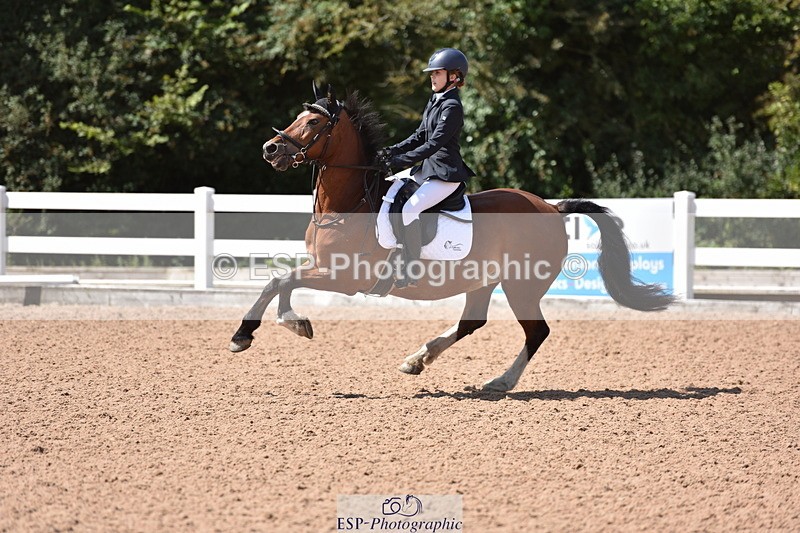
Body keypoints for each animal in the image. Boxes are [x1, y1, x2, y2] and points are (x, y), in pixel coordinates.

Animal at [229, 86, 674, 392]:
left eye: (315, 122)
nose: (270, 149)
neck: (349, 204)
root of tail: (551, 207)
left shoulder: (344, 277)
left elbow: (280, 281)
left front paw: (253, 333)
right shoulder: (321, 266)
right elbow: (280, 281)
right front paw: (283, 325)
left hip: (522, 286)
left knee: (536, 332)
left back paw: (500, 382)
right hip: (484, 280)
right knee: (472, 321)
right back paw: (418, 360)